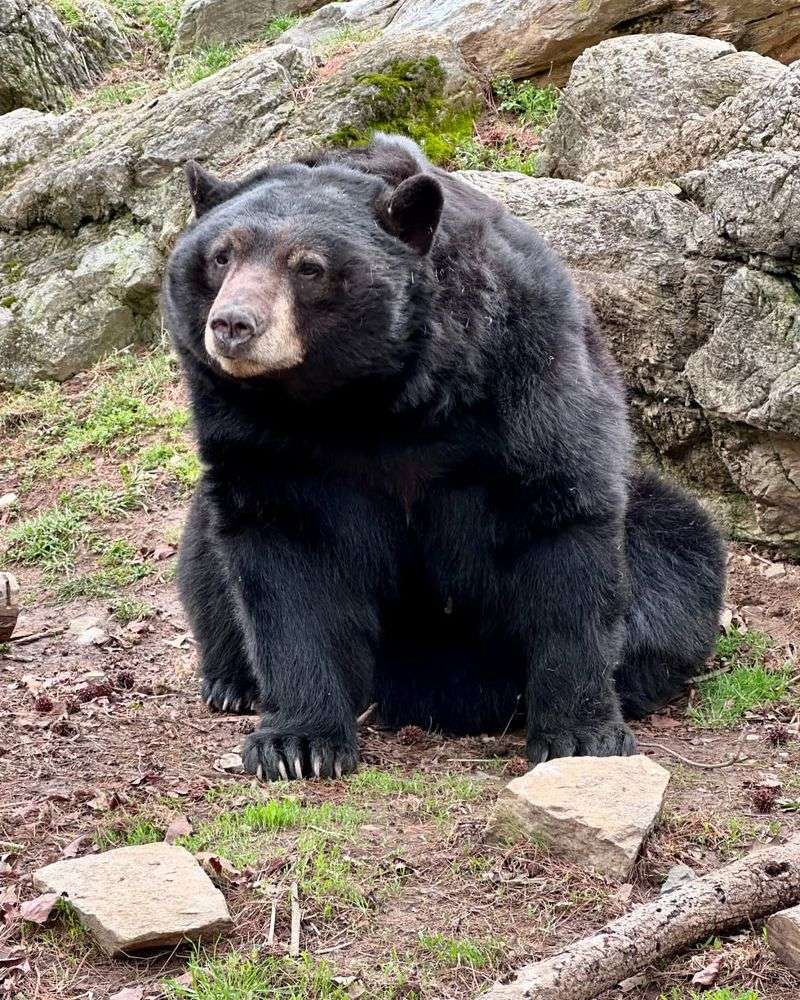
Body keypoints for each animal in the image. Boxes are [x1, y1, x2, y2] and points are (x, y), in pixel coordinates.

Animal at [162, 133, 724, 780]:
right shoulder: (263, 437)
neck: (365, 401)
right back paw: (231, 682)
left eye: (309, 266)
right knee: (205, 559)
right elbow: (285, 556)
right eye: (220, 256)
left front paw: (581, 734)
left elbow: (561, 520)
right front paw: (297, 744)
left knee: (677, 553)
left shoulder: (520, 372)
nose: (233, 324)